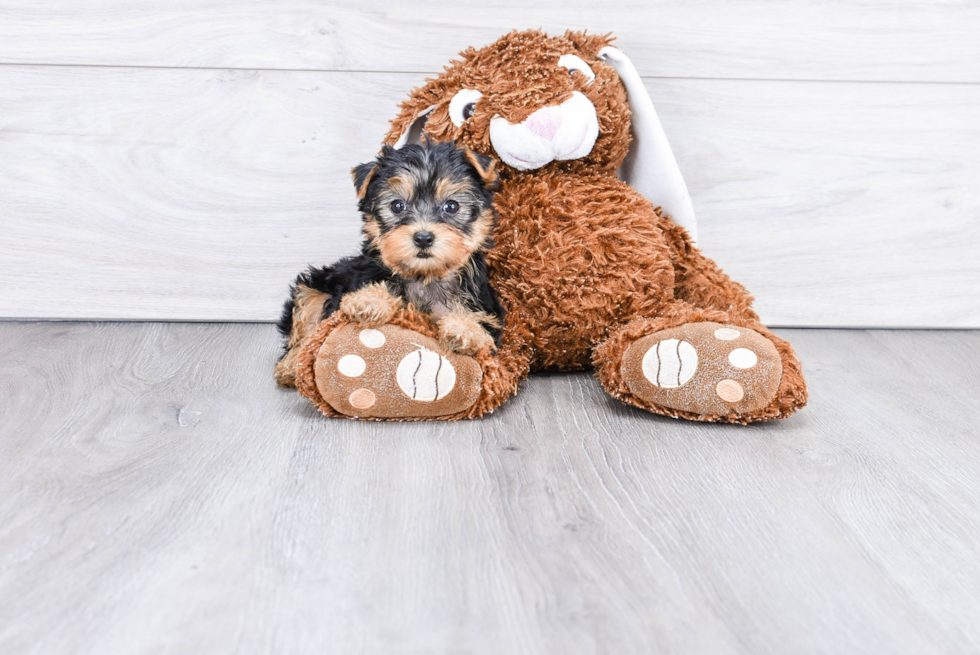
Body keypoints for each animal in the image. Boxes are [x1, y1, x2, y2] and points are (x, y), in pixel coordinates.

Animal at [276, 141, 506, 386]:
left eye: (452, 206)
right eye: (397, 206)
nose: (423, 238)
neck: (424, 276)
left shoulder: (485, 306)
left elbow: (480, 325)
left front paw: (464, 328)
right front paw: (370, 300)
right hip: (317, 285)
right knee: (307, 323)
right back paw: (291, 365)